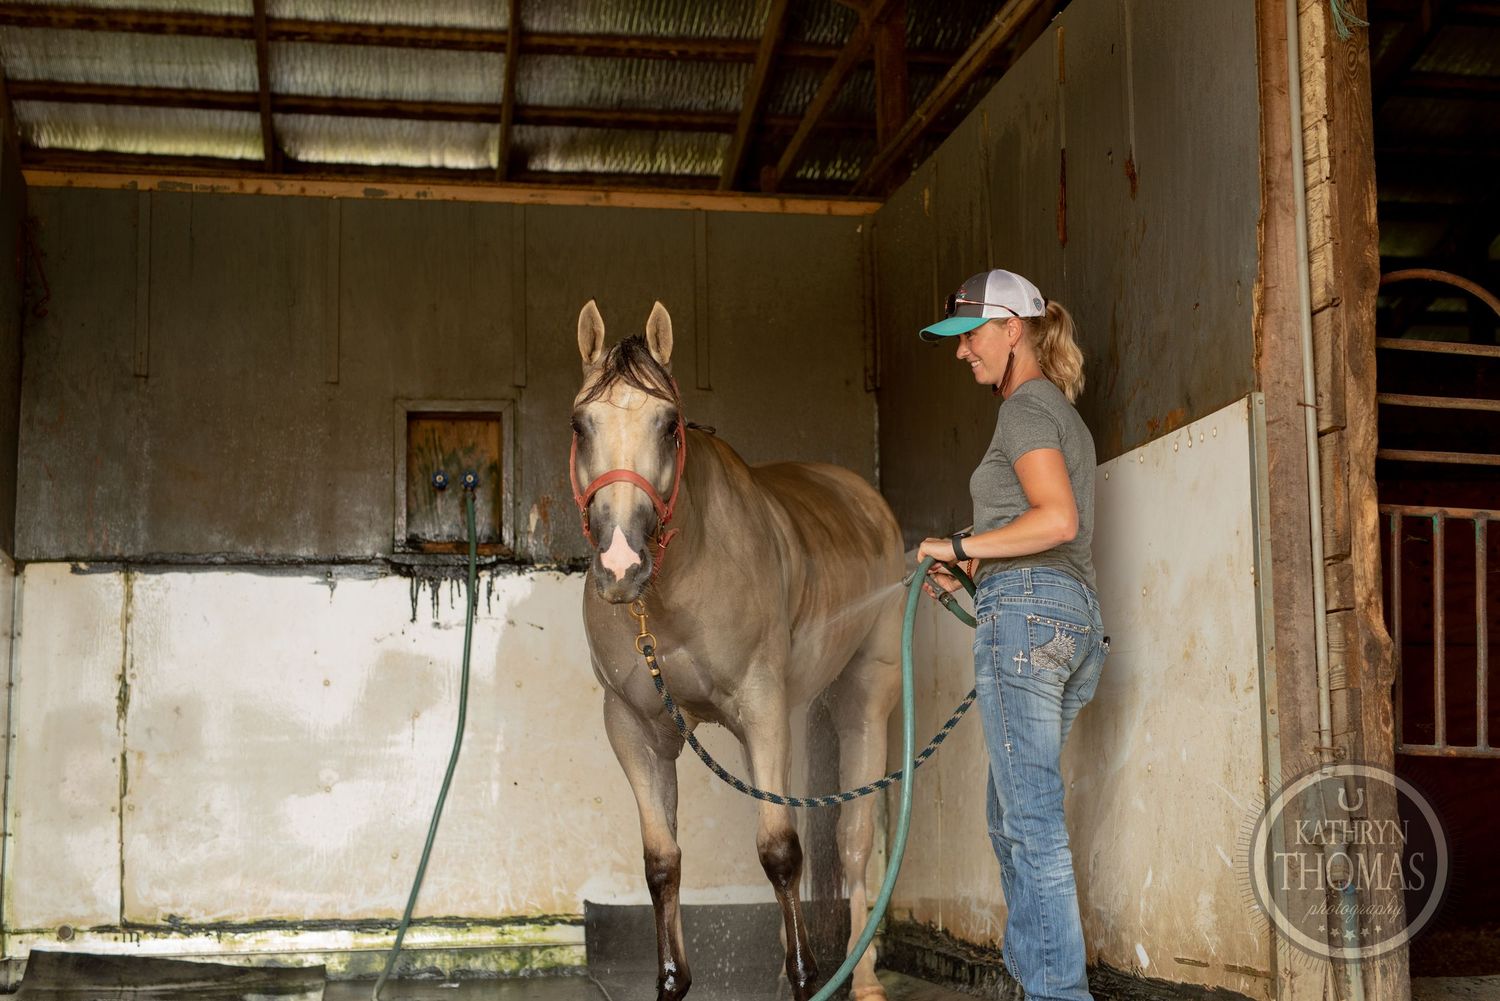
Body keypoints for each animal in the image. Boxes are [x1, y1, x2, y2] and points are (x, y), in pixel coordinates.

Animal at [570, 300, 906, 1001]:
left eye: (669, 426)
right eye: (579, 425)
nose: (621, 563)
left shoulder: (760, 705)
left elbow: (779, 851)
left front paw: (806, 979)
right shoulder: (633, 726)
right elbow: (663, 861)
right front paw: (673, 982)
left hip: (865, 693)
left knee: (855, 840)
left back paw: (860, 979)